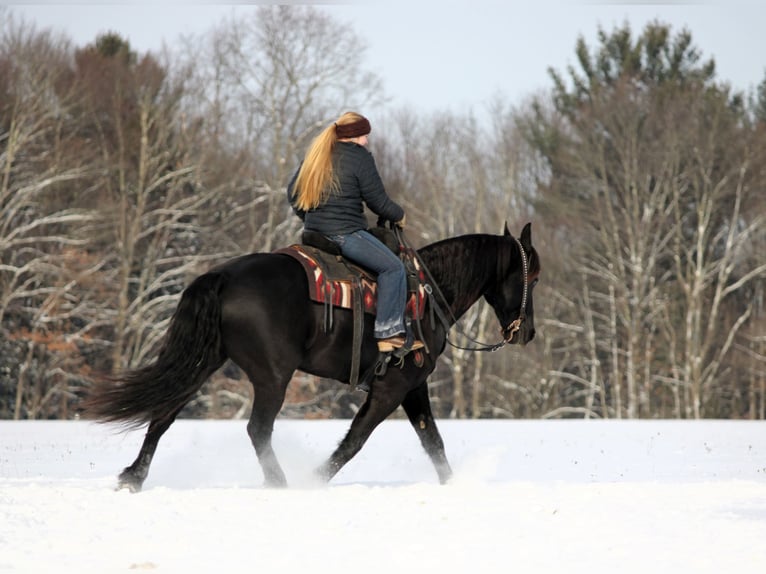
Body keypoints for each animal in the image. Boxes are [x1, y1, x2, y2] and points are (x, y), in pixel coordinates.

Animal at [83, 222, 540, 491]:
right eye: (532, 275)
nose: (527, 333)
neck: (429, 293)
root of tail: (223, 276)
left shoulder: (414, 387)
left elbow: (434, 442)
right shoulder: (392, 386)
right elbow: (355, 440)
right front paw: (315, 481)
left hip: (204, 362)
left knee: (163, 414)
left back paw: (133, 477)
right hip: (273, 376)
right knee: (257, 429)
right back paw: (282, 483)